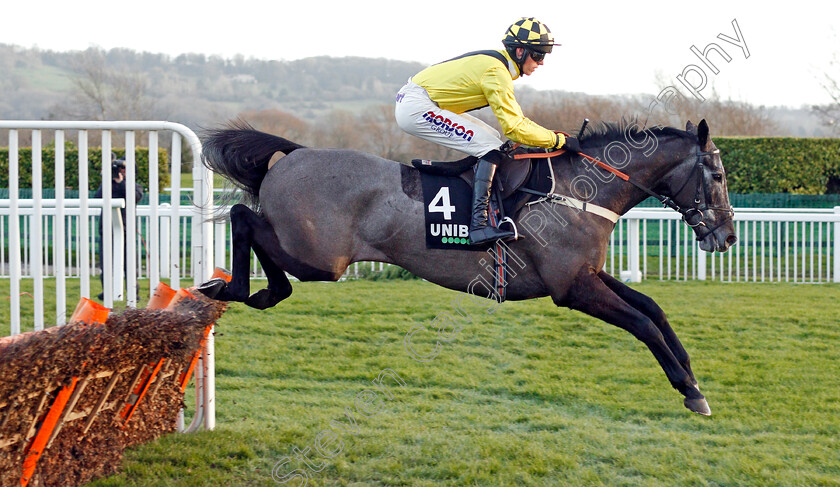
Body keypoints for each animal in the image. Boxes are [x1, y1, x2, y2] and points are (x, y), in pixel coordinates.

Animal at [197, 118, 736, 416]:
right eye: (717, 175)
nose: (727, 235)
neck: (580, 189)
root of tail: (294, 154)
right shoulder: (571, 288)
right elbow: (642, 323)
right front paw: (690, 389)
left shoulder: (583, 274)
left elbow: (652, 307)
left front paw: (691, 377)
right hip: (318, 256)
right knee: (243, 217)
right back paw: (236, 288)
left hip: (312, 254)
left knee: (251, 229)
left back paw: (256, 291)